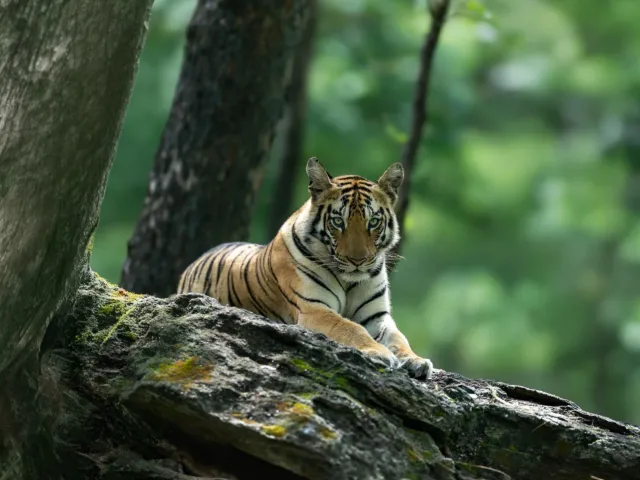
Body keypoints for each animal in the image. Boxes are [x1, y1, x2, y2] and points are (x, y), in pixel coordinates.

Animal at [177, 157, 433, 379]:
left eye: (373, 222)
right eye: (338, 221)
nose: (358, 260)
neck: (349, 281)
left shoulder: (376, 316)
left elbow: (399, 338)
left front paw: (416, 360)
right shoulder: (314, 308)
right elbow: (349, 328)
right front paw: (380, 353)